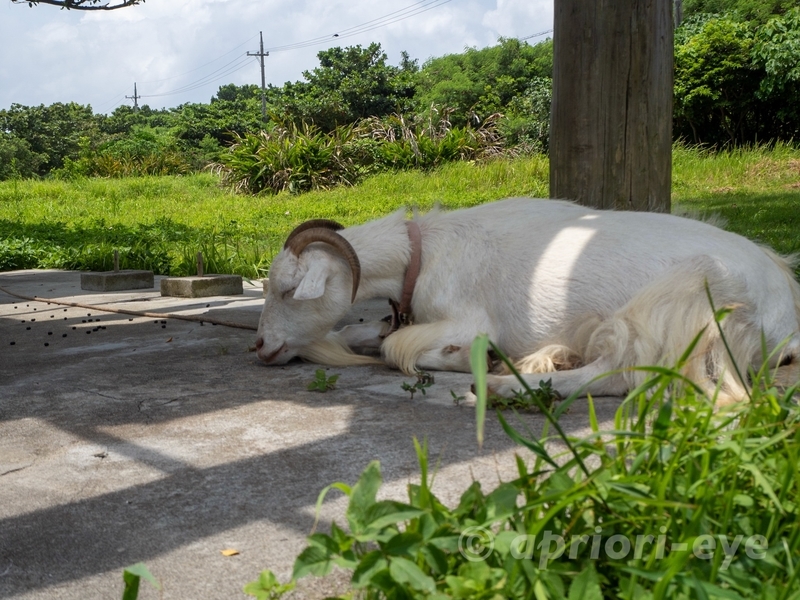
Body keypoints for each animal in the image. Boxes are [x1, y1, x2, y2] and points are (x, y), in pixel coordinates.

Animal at [255, 198, 800, 404]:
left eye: (287, 290)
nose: (259, 346)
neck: (424, 255)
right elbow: (359, 330)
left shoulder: (469, 320)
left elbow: (397, 350)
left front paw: (472, 358)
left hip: (689, 298)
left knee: (624, 372)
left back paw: (507, 383)